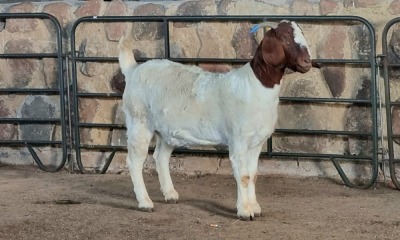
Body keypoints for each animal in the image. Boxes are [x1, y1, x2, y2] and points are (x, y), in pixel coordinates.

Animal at [117, 20, 318, 219]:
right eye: (285, 38)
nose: (307, 62)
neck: (254, 85)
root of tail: (133, 70)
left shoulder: (257, 142)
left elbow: (253, 174)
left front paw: (255, 207)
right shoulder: (238, 139)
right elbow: (243, 176)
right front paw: (245, 211)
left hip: (167, 130)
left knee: (160, 157)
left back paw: (170, 194)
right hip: (139, 122)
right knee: (134, 161)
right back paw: (145, 202)